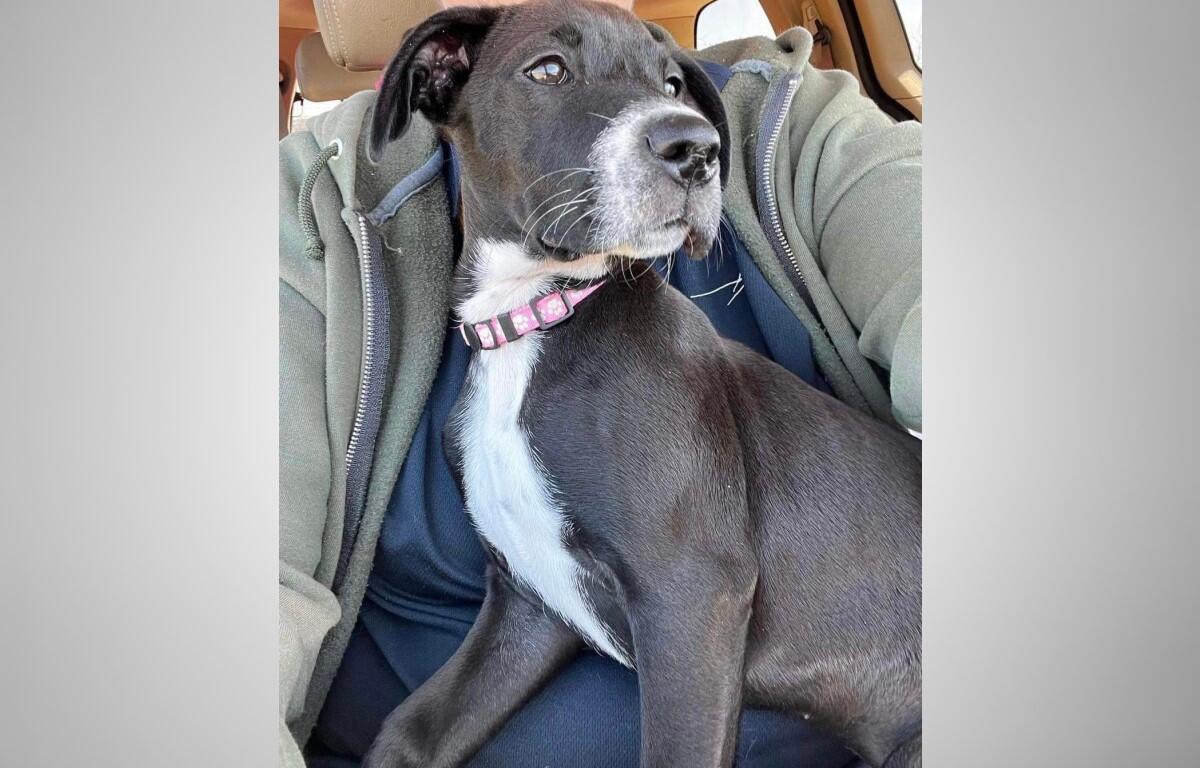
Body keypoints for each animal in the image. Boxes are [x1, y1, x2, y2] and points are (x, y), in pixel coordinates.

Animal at [363, 2, 921, 766]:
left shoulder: (690, 595)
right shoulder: (527, 606)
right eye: (548, 70)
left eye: (672, 83)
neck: (534, 320)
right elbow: (412, 731)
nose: (697, 149)